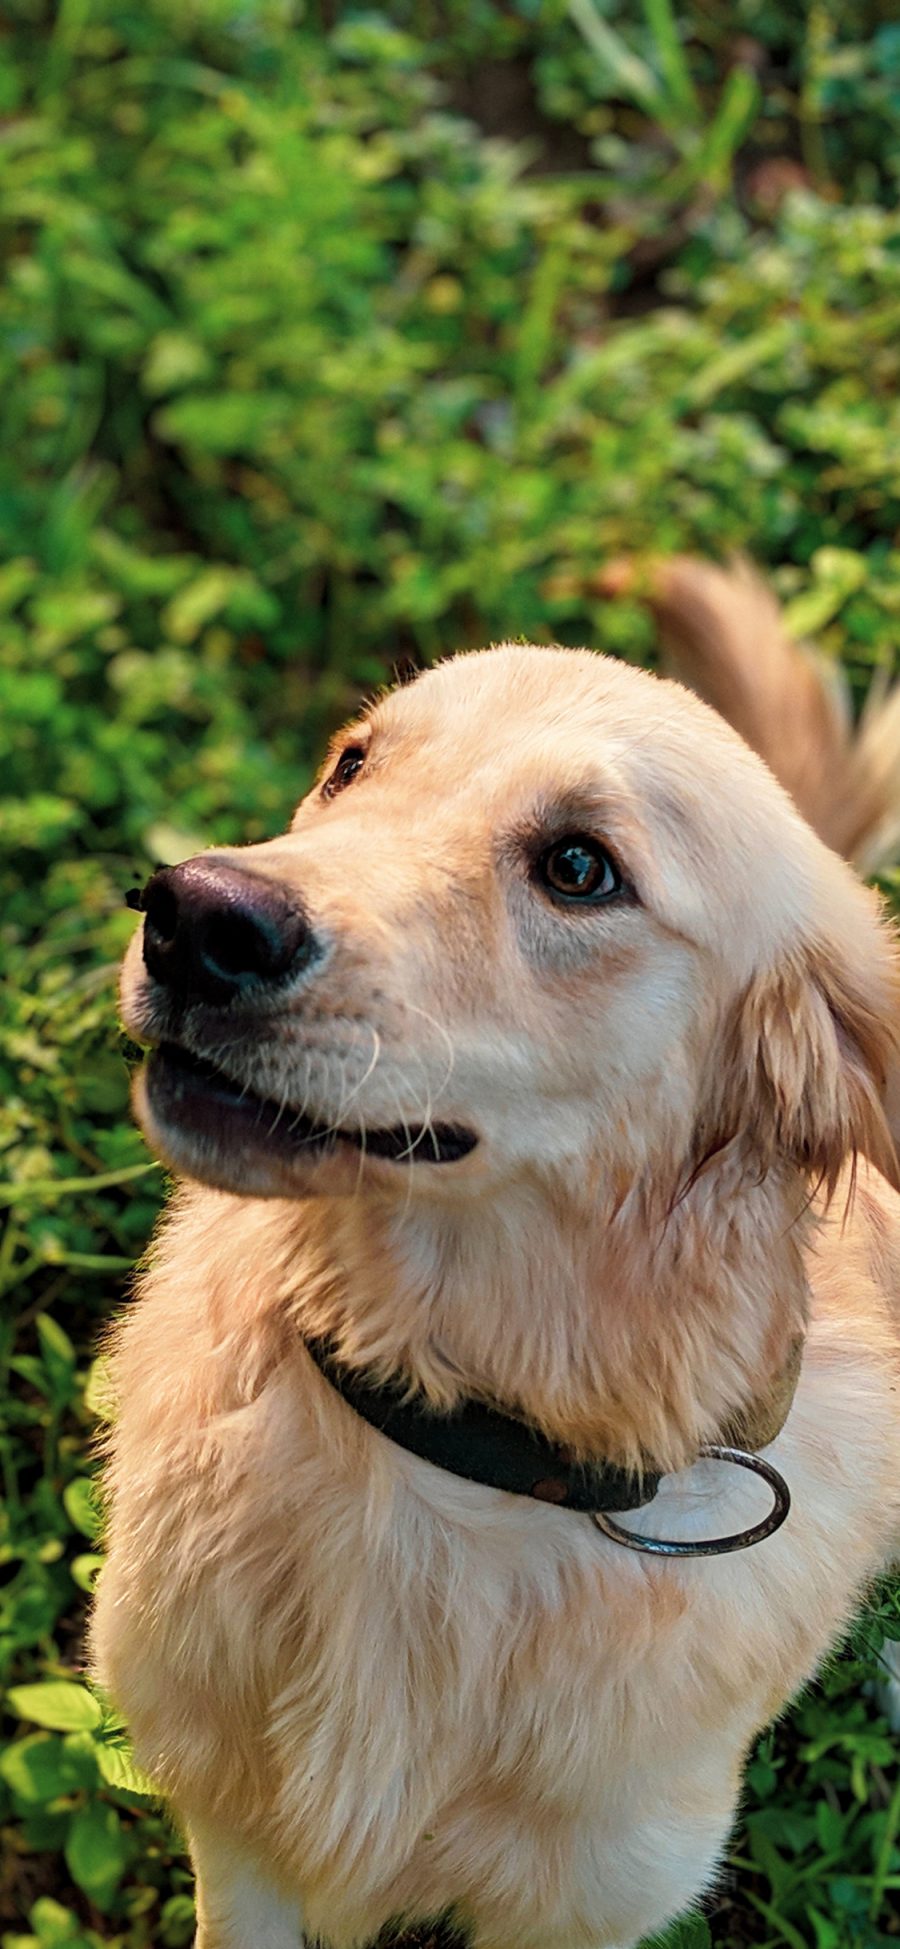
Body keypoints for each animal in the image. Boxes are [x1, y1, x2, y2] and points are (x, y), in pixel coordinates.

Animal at [87, 565, 900, 1949]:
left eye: (579, 866)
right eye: (352, 765)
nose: (191, 914)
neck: (447, 1455)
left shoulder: (591, 1897)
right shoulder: (232, 1834)